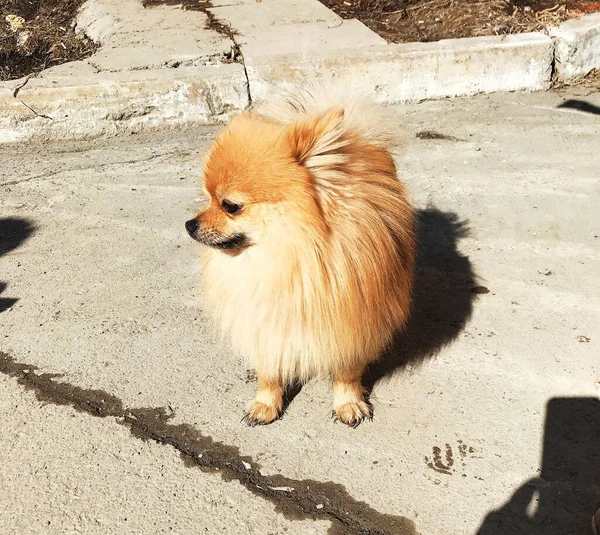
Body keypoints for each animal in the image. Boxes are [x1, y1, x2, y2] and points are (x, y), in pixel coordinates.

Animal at [185, 90, 414, 430]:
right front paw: (266, 402)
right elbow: (269, 367)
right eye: (207, 198)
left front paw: (348, 402)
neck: (290, 255)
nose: (189, 225)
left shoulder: (352, 319)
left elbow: (347, 371)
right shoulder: (264, 318)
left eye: (230, 206)